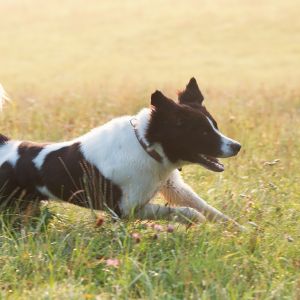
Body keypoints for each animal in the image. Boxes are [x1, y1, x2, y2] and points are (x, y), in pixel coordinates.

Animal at [0, 79, 243, 227]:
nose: (237, 146)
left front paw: (240, 230)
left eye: (215, 126)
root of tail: (5, 144)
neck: (146, 146)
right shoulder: (126, 209)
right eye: (202, 132)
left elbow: (209, 209)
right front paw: (196, 220)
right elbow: (181, 211)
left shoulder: (173, 187)